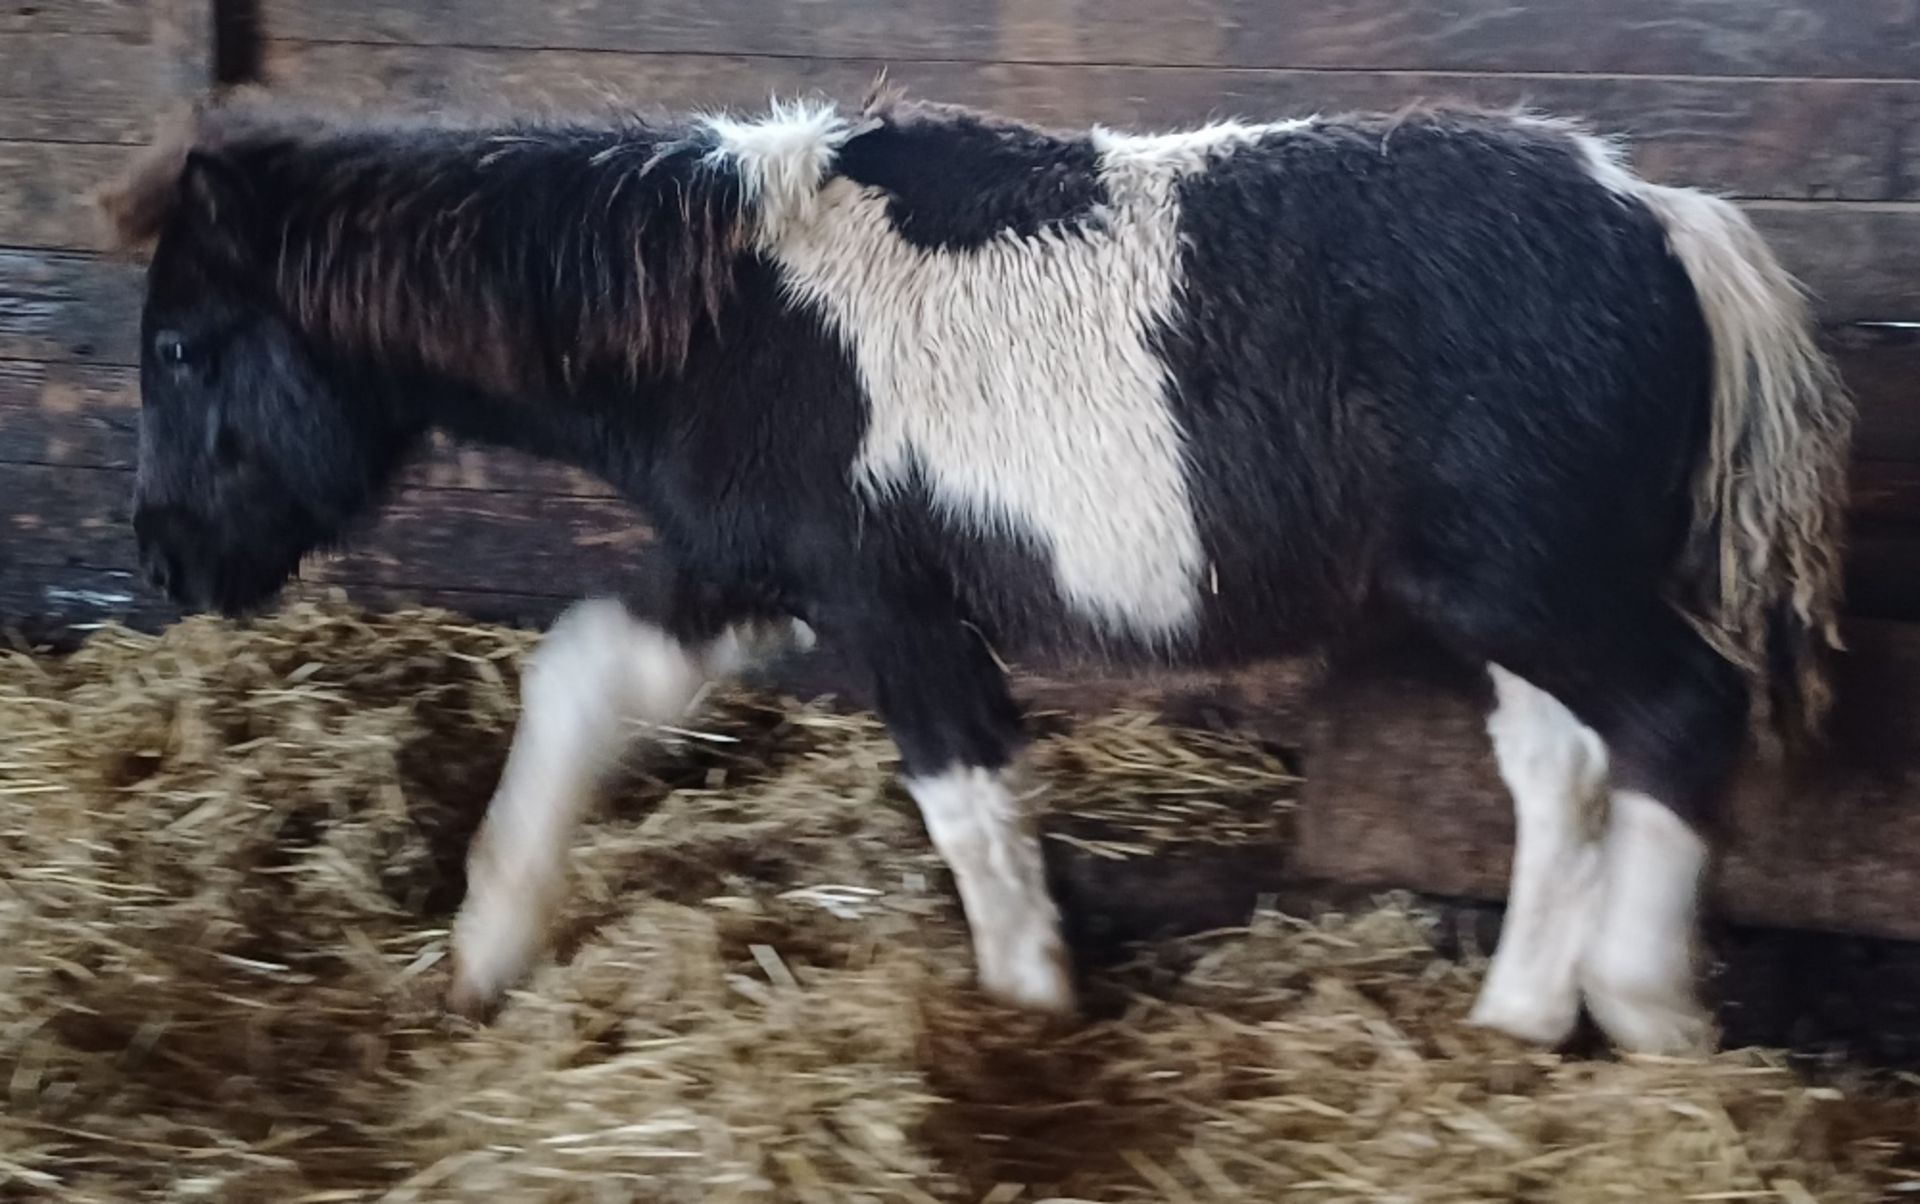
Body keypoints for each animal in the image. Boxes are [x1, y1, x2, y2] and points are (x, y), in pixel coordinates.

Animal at [97, 84, 1850, 1052]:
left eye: (182, 348)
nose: (167, 567)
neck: (736, 318)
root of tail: (1669, 221)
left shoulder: (888, 607)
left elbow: (966, 802)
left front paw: (1025, 1010)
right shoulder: (748, 572)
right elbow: (581, 674)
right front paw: (482, 953)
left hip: (1538, 591)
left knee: (1677, 723)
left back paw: (1641, 1005)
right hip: (1511, 604)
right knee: (1566, 769)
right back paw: (1518, 1017)